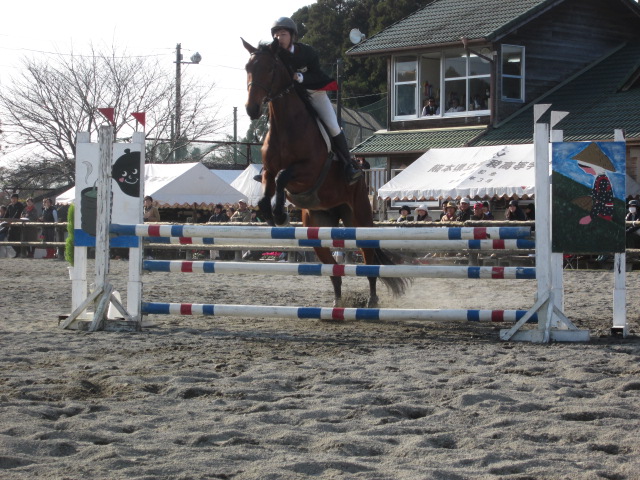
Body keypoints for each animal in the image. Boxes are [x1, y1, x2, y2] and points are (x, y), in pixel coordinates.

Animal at [242, 38, 409, 308]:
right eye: (248, 67)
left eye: (270, 69)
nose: (251, 109)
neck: (286, 125)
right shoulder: (268, 169)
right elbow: (268, 184)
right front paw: (271, 213)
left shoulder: (309, 170)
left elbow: (282, 176)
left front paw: (279, 214)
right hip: (317, 229)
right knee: (333, 270)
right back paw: (338, 303)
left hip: (360, 219)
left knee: (369, 261)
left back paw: (372, 300)